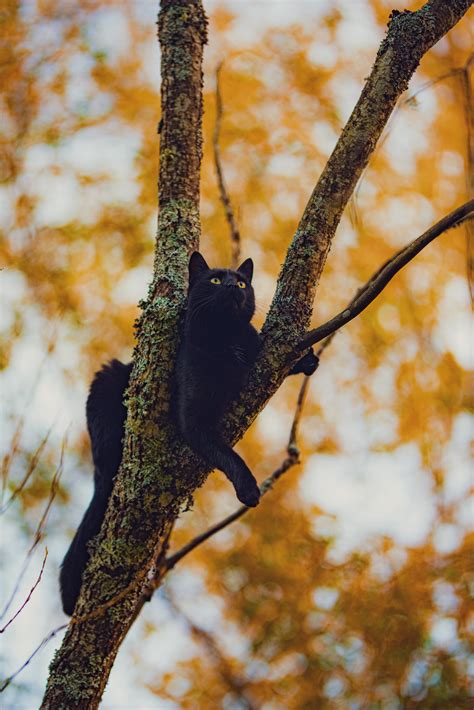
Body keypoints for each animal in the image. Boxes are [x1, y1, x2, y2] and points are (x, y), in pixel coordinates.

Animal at [60, 253, 318, 616]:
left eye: (242, 282)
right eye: (214, 280)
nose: (231, 287)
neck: (224, 340)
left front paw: (307, 360)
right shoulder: (193, 420)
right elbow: (228, 455)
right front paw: (249, 489)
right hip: (106, 382)